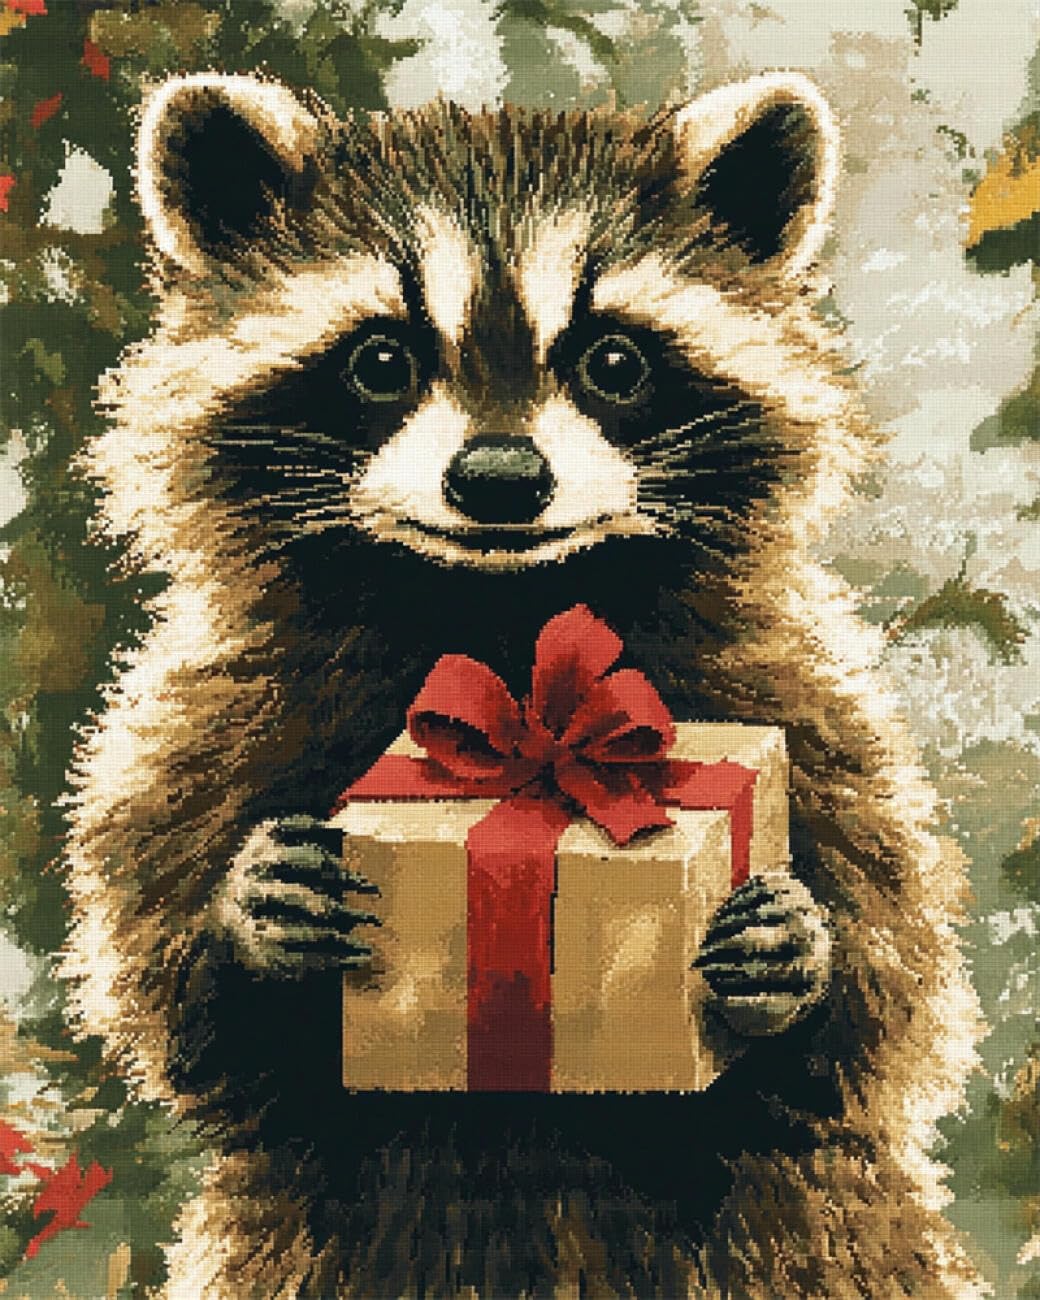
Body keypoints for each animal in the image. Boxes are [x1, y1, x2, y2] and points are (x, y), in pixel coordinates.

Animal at [62, 71, 986, 1299]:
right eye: (381, 361)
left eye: (612, 361)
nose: (499, 478)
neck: (503, 624)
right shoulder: (212, 718)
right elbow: (193, 1023)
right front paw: (246, 913)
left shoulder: (806, 700)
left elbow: (885, 1001)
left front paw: (803, 950)